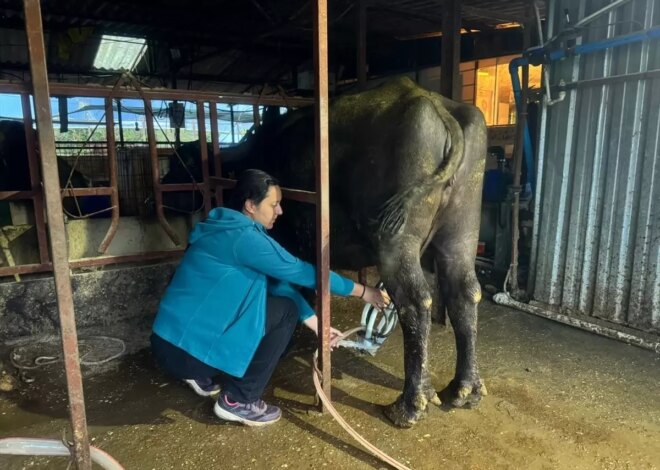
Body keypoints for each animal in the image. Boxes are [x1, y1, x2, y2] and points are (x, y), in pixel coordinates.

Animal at [235, 77, 488, 426]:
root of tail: (435, 104)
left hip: (397, 242)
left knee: (415, 301)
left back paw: (409, 405)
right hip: (461, 232)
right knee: (464, 292)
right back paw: (462, 390)